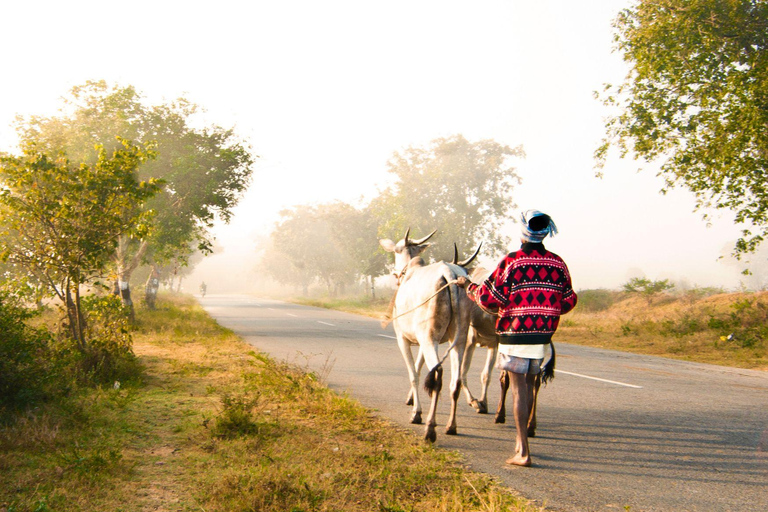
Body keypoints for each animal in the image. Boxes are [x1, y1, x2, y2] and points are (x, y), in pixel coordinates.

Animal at [380, 230, 474, 442]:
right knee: (455, 380)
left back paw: (430, 428)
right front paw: (412, 401)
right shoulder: (424, 340)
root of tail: (450, 273)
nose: (396, 275)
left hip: (430, 338)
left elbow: (413, 373)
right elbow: (418, 367)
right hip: (458, 338)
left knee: (438, 375)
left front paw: (416, 413)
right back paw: (451, 426)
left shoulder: (403, 339)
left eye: (396, 251)